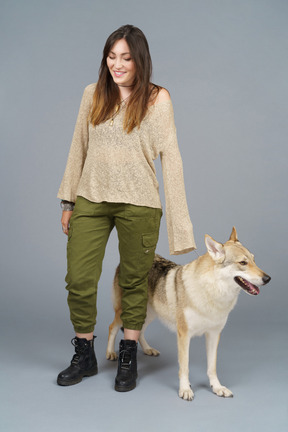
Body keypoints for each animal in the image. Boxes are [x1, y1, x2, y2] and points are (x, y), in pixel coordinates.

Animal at [106, 228, 270, 400]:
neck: (211, 292)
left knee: (140, 331)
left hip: (148, 314)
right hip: (127, 312)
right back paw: (110, 353)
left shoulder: (214, 334)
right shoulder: (184, 335)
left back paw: (148, 349)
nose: (268, 278)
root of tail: (124, 263)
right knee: (112, 327)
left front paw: (217, 387)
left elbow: (212, 367)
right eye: (243, 263)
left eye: (254, 260)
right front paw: (185, 389)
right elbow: (184, 367)